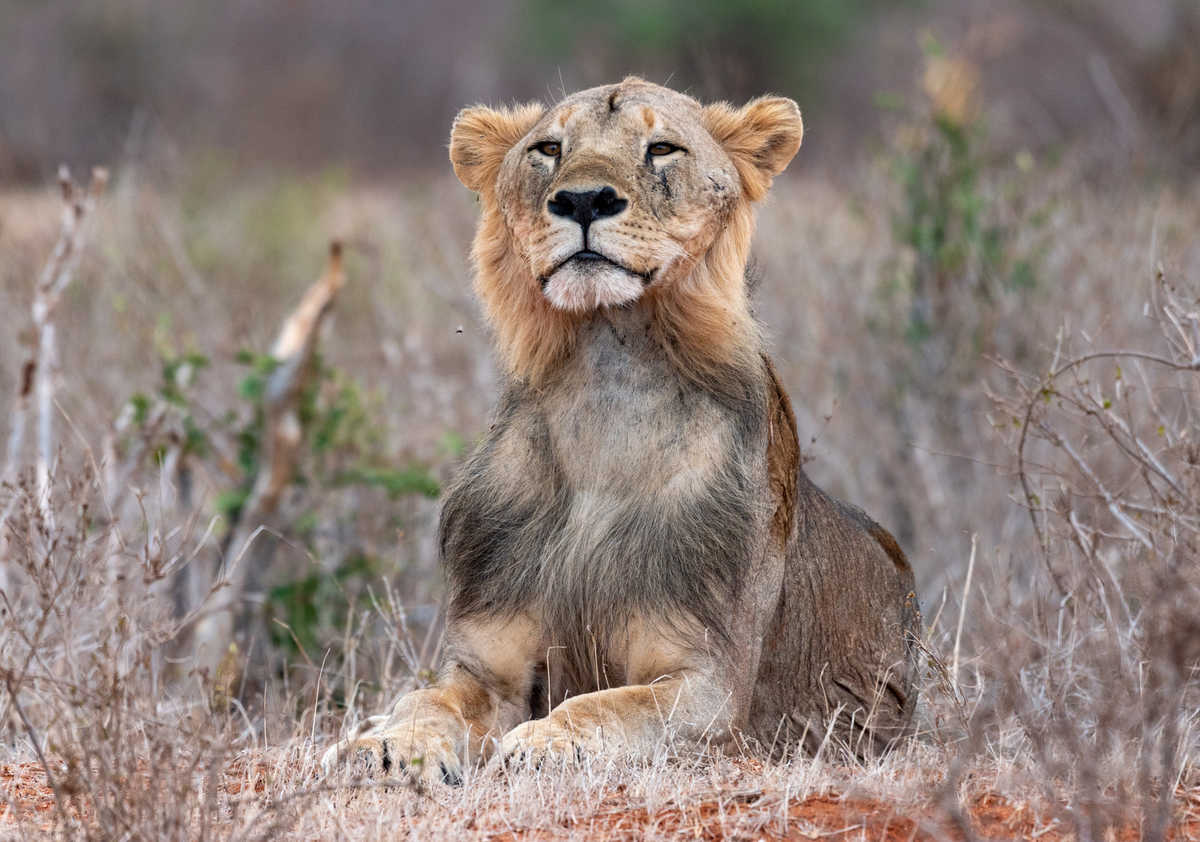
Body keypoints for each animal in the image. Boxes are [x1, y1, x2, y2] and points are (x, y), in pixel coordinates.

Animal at [324, 75, 921, 786]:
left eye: (661, 148)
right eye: (549, 149)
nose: (584, 199)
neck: (609, 383)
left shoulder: (709, 685)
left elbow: (607, 705)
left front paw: (546, 742)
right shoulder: (486, 663)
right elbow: (429, 699)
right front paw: (385, 746)